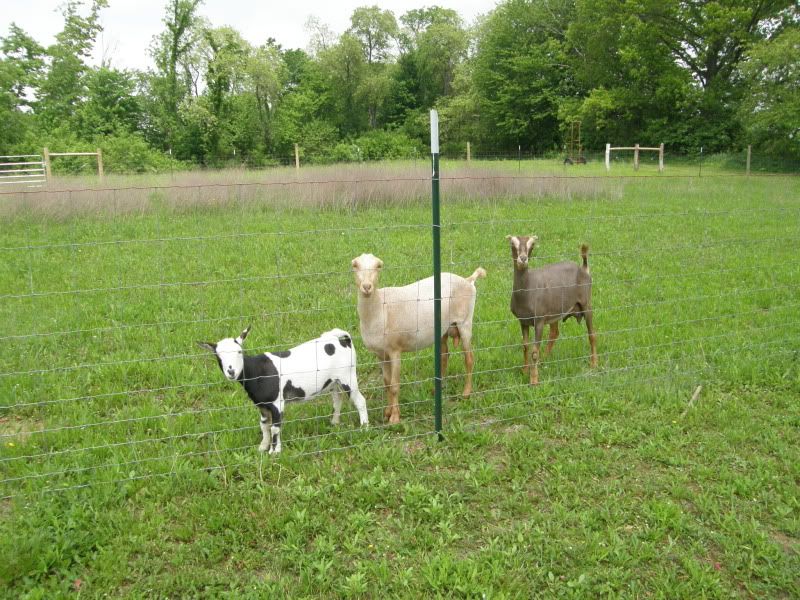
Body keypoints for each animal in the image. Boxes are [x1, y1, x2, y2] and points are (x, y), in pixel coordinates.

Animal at [198, 326, 368, 454]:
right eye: (218, 356)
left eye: (239, 352)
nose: (231, 372)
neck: (257, 371)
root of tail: (344, 341)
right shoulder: (262, 405)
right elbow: (264, 425)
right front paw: (262, 447)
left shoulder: (276, 403)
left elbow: (275, 428)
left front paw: (275, 452)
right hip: (334, 381)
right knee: (337, 398)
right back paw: (334, 422)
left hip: (348, 376)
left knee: (360, 401)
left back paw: (364, 427)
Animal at [352, 253, 486, 424]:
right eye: (355, 265)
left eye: (378, 266)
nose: (367, 287)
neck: (380, 309)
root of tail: (468, 280)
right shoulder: (380, 354)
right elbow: (386, 383)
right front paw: (387, 412)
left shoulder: (395, 350)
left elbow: (394, 385)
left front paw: (395, 417)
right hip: (443, 328)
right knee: (445, 355)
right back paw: (438, 388)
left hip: (465, 322)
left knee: (469, 358)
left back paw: (466, 392)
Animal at [506, 236, 598, 385]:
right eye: (512, 243)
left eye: (532, 245)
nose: (523, 259)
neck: (528, 288)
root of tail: (584, 268)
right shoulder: (523, 321)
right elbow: (525, 346)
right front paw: (524, 370)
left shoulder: (539, 321)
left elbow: (534, 352)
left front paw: (534, 380)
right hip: (556, 310)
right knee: (554, 332)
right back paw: (544, 359)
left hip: (586, 303)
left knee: (592, 333)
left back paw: (594, 364)